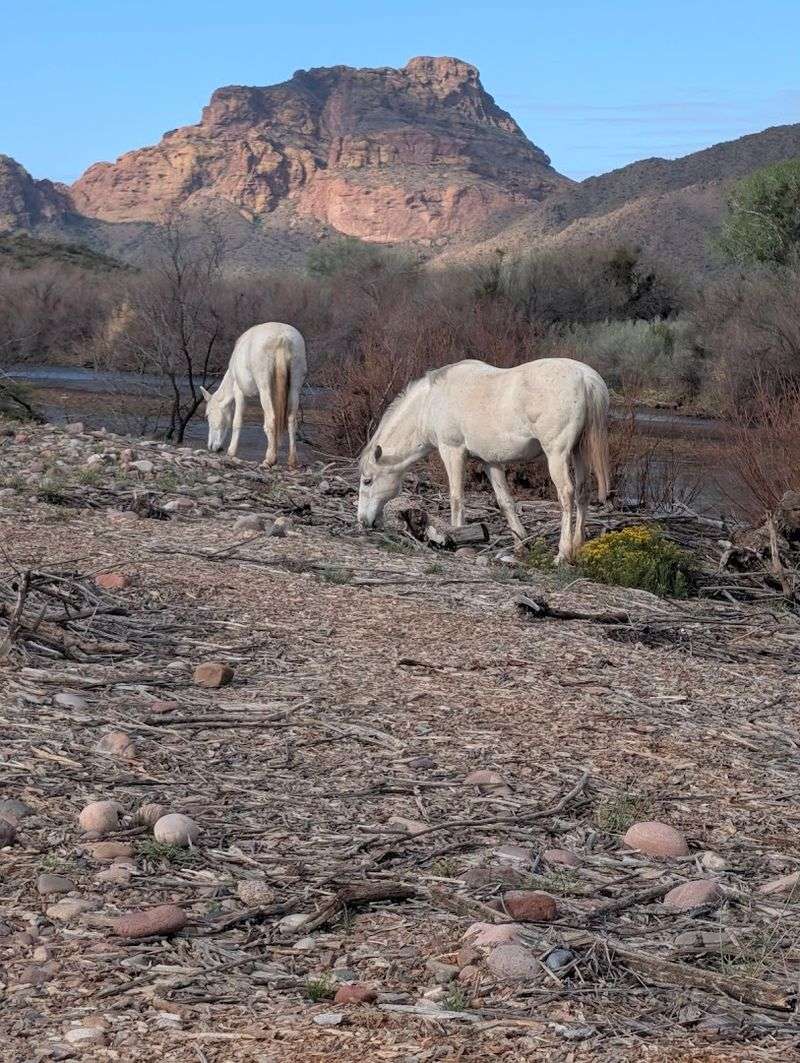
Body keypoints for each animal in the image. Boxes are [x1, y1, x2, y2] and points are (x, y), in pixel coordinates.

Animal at [201, 322, 307, 467]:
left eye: (207, 415)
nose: (211, 447)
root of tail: (282, 338)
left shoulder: (239, 391)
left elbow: (237, 421)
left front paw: (231, 452)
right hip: (295, 387)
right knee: (291, 419)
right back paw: (292, 460)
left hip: (264, 388)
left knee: (271, 418)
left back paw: (270, 459)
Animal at [357, 357, 610, 563]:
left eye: (367, 481)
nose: (363, 521)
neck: (429, 403)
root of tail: (586, 378)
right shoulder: (491, 462)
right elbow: (505, 502)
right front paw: (520, 546)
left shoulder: (452, 451)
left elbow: (457, 497)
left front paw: (457, 539)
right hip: (578, 451)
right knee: (582, 492)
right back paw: (578, 547)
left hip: (557, 454)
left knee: (566, 494)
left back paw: (563, 554)